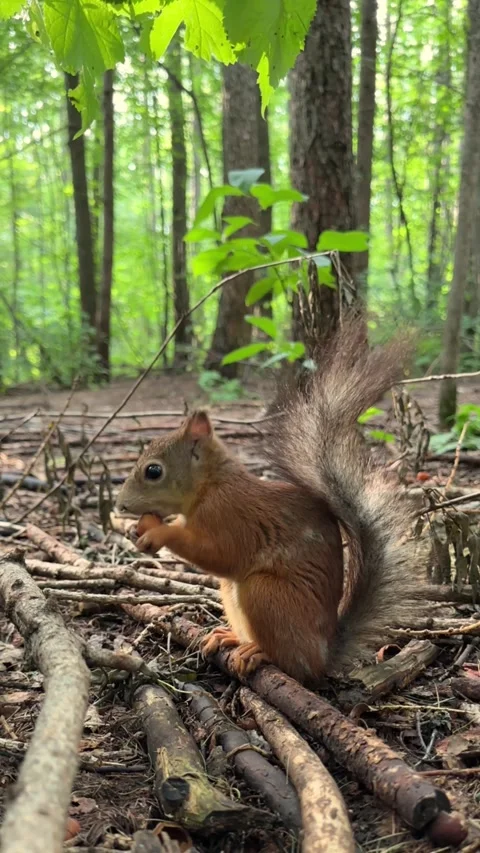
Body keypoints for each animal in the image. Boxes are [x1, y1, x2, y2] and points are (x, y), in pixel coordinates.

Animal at [115, 317, 418, 685]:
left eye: (154, 471)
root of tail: (324, 654)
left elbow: (220, 554)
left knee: (294, 664)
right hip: (233, 594)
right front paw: (139, 528)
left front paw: (159, 532)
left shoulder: (230, 515)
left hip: (265, 594)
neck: (211, 485)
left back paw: (259, 652)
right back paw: (229, 637)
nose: (121, 505)